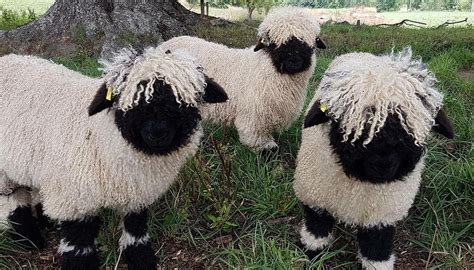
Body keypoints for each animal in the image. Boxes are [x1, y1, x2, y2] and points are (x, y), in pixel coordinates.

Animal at [0, 48, 228, 270]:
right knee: (13, 201)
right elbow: (79, 245)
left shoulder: (136, 192)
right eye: (131, 102)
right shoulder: (74, 198)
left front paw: (141, 260)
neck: (102, 137)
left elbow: (136, 230)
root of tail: (7, 57)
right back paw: (29, 240)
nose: (158, 133)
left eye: (183, 102)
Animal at [159, 6, 326, 152]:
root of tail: (167, 42)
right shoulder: (253, 119)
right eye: (273, 44)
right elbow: (261, 144)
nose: (294, 62)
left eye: (309, 44)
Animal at [294, 47, 454, 268]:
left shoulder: (382, 213)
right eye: (351, 127)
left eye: (408, 129)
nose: (383, 165)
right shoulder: (315, 195)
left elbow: (376, 243)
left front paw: (376, 262)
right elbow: (316, 227)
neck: (360, 185)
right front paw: (312, 254)